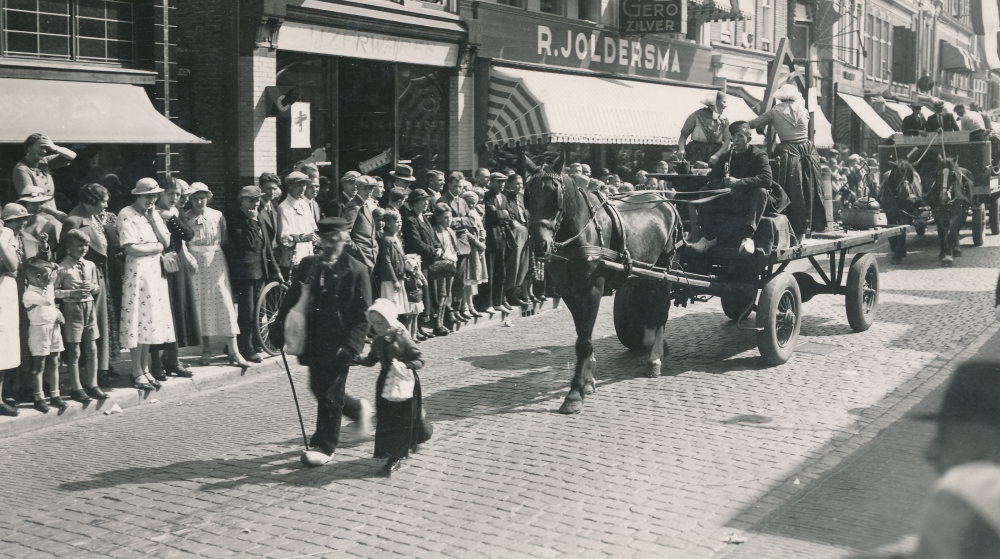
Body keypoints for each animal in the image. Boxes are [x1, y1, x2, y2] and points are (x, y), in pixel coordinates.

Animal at [524, 160, 680, 414]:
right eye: (527, 195)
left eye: (555, 196)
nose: (539, 244)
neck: (580, 233)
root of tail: (663, 199)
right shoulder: (569, 293)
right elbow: (582, 335)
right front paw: (587, 381)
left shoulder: (592, 291)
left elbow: (583, 340)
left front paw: (574, 394)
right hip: (644, 271)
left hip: (664, 269)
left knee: (660, 310)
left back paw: (655, 358)